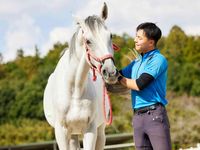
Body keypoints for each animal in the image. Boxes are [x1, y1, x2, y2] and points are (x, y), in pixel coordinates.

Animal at [43, 2, 119, 150]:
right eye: (88, 41)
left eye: (111, 36)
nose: (110, 72)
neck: (75, 90)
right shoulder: (61, 132)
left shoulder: (90, 130)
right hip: (73, 135)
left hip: (100, 132)